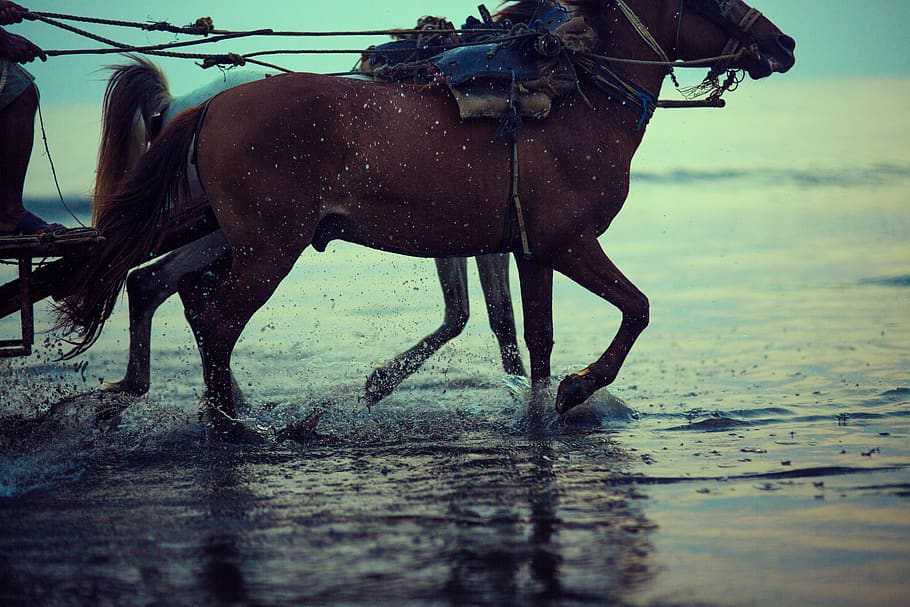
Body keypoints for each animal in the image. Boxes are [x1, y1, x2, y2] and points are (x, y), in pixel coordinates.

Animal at [93, 57, 523, 401]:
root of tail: (182, 106)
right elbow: (487, 313)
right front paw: (521, 391)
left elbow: (471, 311)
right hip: (244, 234)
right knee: (188, 296)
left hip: (229, 236)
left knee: (163, 285)